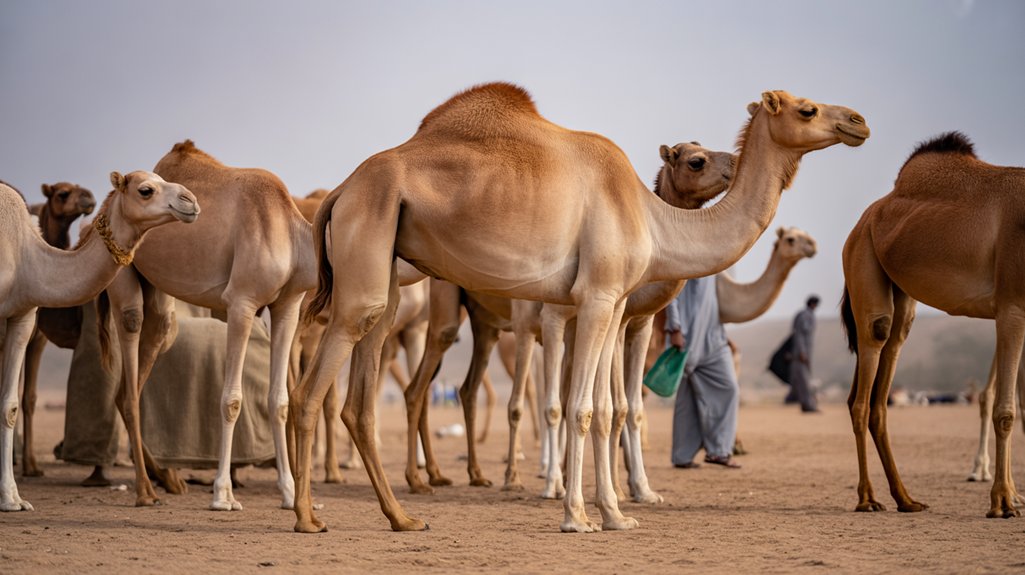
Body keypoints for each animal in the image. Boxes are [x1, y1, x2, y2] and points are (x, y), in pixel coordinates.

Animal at [97, 140, 315, 509]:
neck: (290, 232)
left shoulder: (288, 306)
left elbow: (279, 401)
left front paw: (288, 494)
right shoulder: (242, 302)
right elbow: (232, 401)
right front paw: (223, 495)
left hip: (159, 300)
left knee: (132, 384)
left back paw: (167, 480)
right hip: (121, 273)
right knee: (130, 354)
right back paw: (145, 490)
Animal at [290, 83, 869, 533]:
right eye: (807, 109)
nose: (859, 121)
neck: (652, 217)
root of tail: (340, 190)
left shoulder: (615, 306)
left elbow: (611, 409)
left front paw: (618, 514)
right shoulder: (595, 299)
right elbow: (581, 408)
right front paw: (577, 516)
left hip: (388, 267)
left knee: (361, 400)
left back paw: (402, 516)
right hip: (369, 251)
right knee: (312, 391)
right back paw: (309, 515)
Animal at [840, 131, 1025, 518]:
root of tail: (866, 218)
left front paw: (1011, 497)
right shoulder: (1012, 306)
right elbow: (1007, 410)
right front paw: (1002, 502)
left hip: (902, 300)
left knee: (879, 391)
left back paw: (906, 499)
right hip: (863, 263)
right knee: (862, 394)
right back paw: (868, 499)